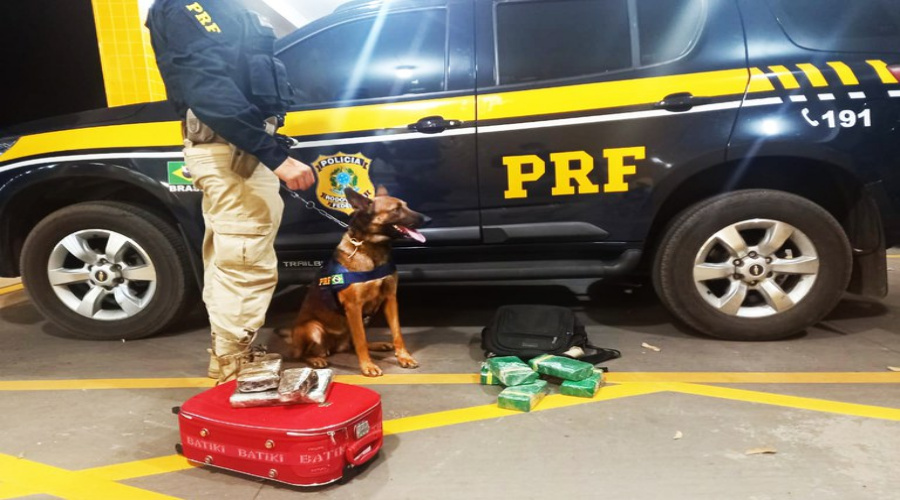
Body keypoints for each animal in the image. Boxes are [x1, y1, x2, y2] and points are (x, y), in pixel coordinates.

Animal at [284, 187, 430, 376]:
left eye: (406, 205)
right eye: (396, 209)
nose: (428, 219)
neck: (372, 247)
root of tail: (333, 347)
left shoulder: (390, 299)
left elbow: (397, 332)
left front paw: (404, 357)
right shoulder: (354, 306)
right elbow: (360, 340)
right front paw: (368, 366)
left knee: (352, 344)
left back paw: (377, 345)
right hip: (314, 327)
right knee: (302, 354)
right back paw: (315, 359)